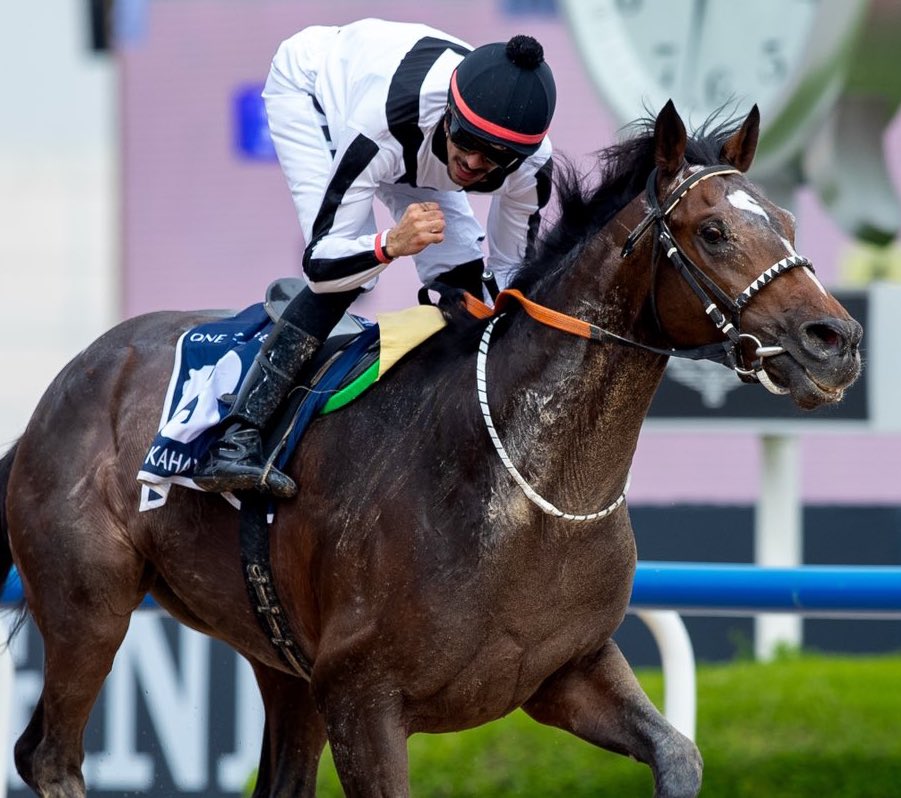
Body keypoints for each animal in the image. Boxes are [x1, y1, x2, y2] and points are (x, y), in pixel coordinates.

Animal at [0, 101, 860, 798]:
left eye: (785, 222)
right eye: (712, 231)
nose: (836, 340)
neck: (526, 491)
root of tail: (72, 379)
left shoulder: (566, 669)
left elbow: (679, 753)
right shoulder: (363, 701)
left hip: (280, 661)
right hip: (89, 601)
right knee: (50, 757)